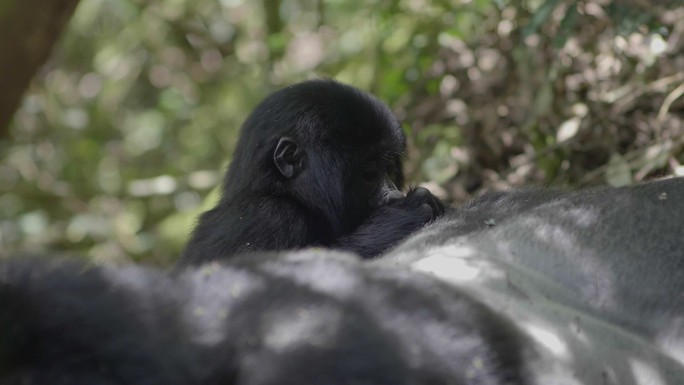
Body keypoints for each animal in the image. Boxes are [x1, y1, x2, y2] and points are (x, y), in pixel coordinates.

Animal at [179, 79, 444, 264]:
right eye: (369, 174)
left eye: (389, 169)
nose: (395, 195)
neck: (287, 195)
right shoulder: (265, 216)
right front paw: (397, 219)